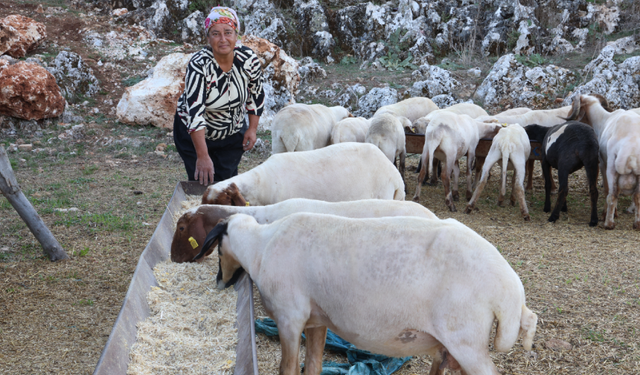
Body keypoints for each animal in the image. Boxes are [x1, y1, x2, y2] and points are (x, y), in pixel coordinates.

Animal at [198, 213, 536, 375]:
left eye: (217, 251)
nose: (219, 282)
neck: (259, 248)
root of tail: (512, 294)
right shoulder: (317, 320)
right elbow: (314, 367)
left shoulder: (290, 318)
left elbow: (288, 369)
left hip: (467, 342)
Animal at [564, 94, 640, 229]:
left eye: (572, 104)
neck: (603, 120)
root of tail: (632, 152)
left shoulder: (603, 163)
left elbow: (607, 189)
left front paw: (609, 214)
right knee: (637, 197)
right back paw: (637, 223)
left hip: (612, 167)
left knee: (612, 194)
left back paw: (608, 223)